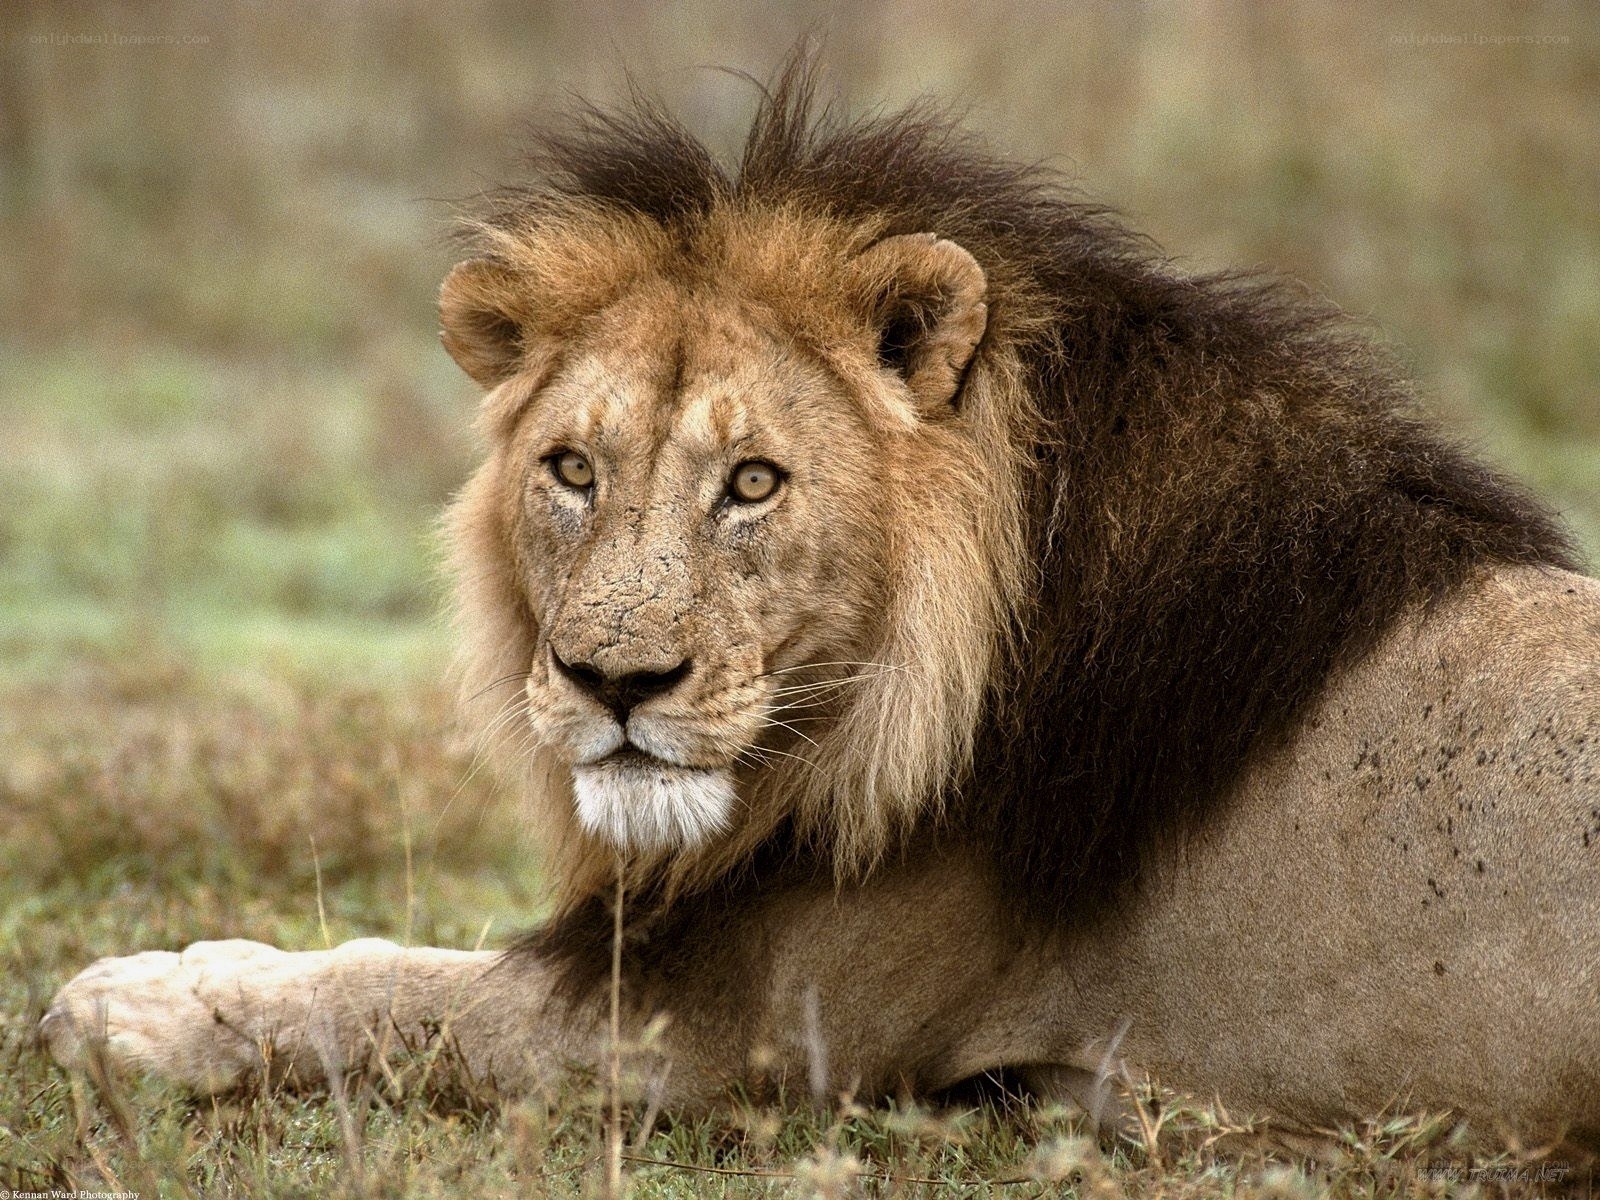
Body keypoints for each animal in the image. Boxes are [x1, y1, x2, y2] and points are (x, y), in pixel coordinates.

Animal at [42, 67, 1600, 1157]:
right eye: (571, 469)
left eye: (753, 482)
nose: (613, 684)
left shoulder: (726, 1033)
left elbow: (401, 996)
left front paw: (129, 1002)